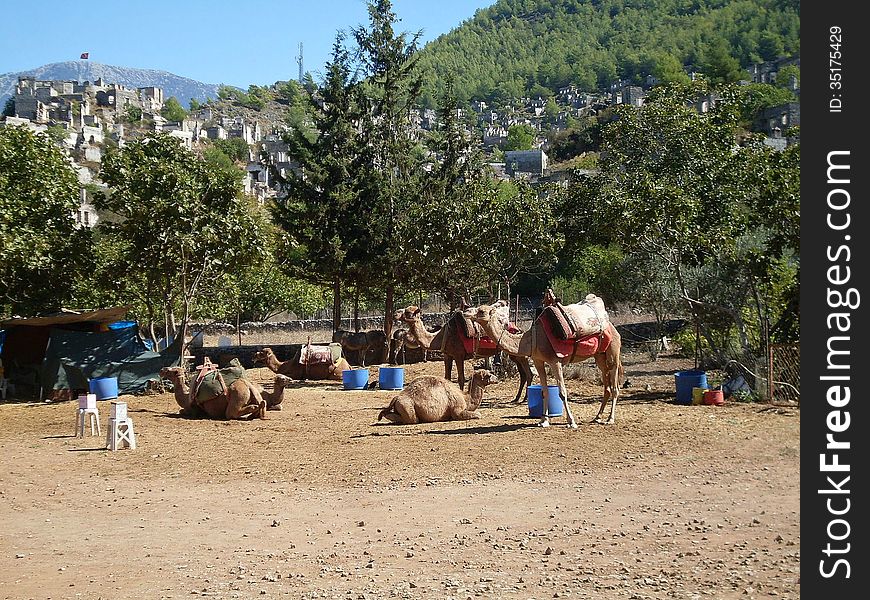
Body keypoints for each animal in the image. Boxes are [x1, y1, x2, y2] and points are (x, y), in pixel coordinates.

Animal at [158, 364, 292, 420]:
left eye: (171, 371)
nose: (162, 370)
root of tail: (248, 385)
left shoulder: (193, 409)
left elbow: (182, 411)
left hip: (237, 394)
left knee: (230, 413)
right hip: (252, 394)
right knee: (262, 404)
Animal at [394, 304, 532, 404]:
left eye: (408, 312)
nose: (395, 313)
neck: (440, 336)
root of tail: (520, 329)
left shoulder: (458, 355)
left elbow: (461, 379)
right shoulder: (447, 355)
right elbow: (447, 378)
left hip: (520, 354)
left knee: (528, 373)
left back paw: (525, 399)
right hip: (514, 355)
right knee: (523, 374)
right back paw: (516, 398)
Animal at [466, 294, 624, 426]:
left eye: (481, 311)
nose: (466, 311)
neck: (532, 340)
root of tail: (612, 326)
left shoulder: (555, 361)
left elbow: (562, 392)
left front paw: (571, 422)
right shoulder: (538, 361)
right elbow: (544, 391)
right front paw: (543, 420)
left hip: (613, 351)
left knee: (615, 385)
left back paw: (610, 419)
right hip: (599, 355)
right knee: (606, 385)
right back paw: (597, 417)